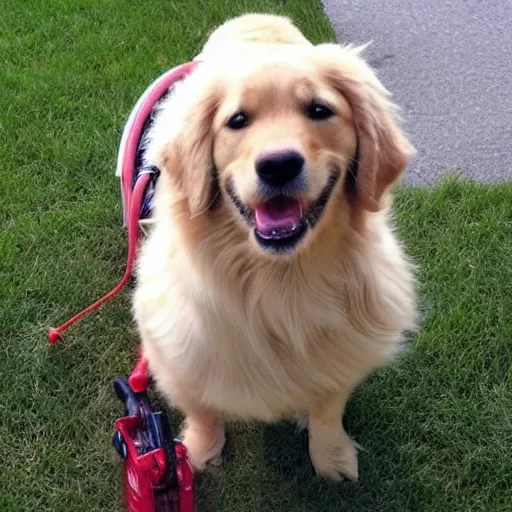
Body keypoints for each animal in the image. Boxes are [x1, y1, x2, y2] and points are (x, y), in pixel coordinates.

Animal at [134, 14, 418, 482]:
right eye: (237, 120)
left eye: (319, 110)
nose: (279, 164)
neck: (279, 282)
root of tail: (255, 17)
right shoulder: (176, 357)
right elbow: (202, 408)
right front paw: (199, 452)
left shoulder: (344, 356)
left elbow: (327, 410)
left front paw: (331, 457)